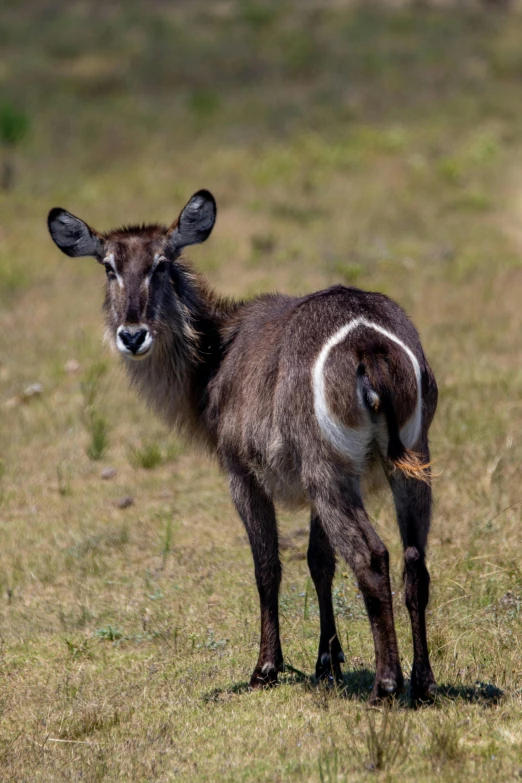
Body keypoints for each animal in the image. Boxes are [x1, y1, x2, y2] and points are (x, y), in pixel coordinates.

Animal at [48, 190, 436, 704]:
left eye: (161, 263)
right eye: (109, 266)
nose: (132, 335)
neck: (215, 355)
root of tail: (369, 344)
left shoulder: (240, 471)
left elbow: (266, 566)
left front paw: (266, 668)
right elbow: (319, 561)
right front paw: (327, 662)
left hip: (330, 469)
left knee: (372, 559)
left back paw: (386, 686)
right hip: (409, 461)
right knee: (415, 562)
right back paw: (423, 684)